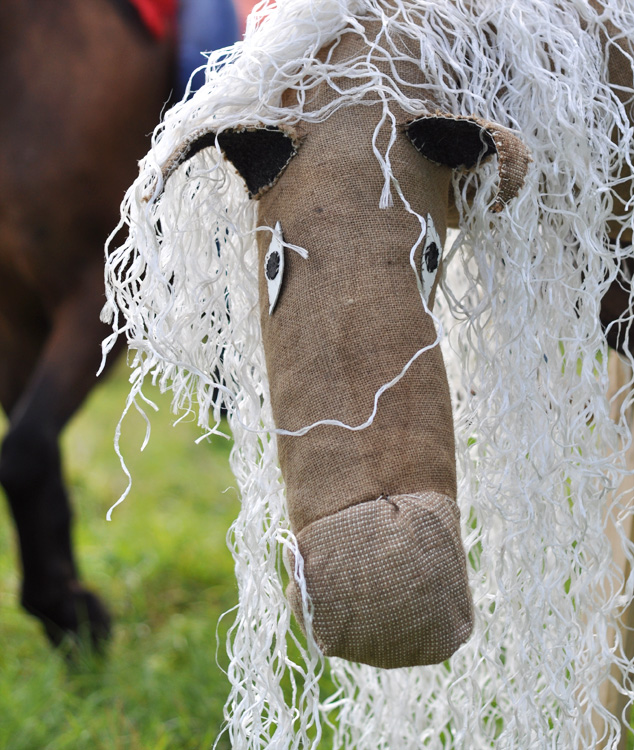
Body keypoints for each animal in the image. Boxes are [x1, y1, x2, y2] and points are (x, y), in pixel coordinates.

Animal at [0, 0, 173, 648]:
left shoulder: (101, 297)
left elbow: (23, 451)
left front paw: (69, 614)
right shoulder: (12, 321)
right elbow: (37, 455)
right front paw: (67, 611)